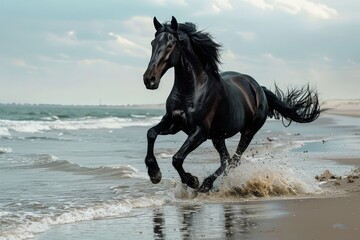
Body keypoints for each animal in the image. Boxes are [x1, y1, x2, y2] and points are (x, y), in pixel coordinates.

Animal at [143, 16, 320, 193]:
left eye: (170, 45)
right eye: (152, 43)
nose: (149, 79)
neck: (192, 90)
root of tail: (258, 88)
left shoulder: (200, 131)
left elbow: (177, 158)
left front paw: (192, 180)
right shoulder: (173, 123)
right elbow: (151, 133)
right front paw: (154, 173)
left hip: (247, 132)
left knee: (233, 160)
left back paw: (208, 185)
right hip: (218, 136)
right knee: (226, 160)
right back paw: (209, 185)